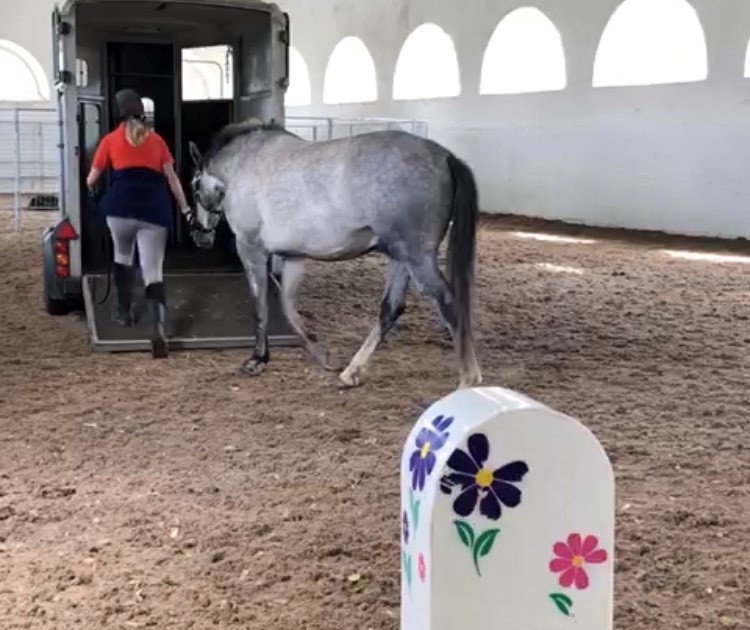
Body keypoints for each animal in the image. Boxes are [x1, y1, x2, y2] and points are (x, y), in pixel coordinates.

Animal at [187, 119, 482, 390]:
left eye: (193, 185)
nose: (200, 235)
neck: (243, 164)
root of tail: (445, 157)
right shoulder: (294, 257)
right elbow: (287, 306)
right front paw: (320, 353)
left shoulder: (252, 250)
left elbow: (260, 306)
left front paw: (257, 359)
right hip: (400, 258)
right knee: (391, 309)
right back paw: (351, 372)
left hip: (417, 258)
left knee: (448, 303)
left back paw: (469, 380)